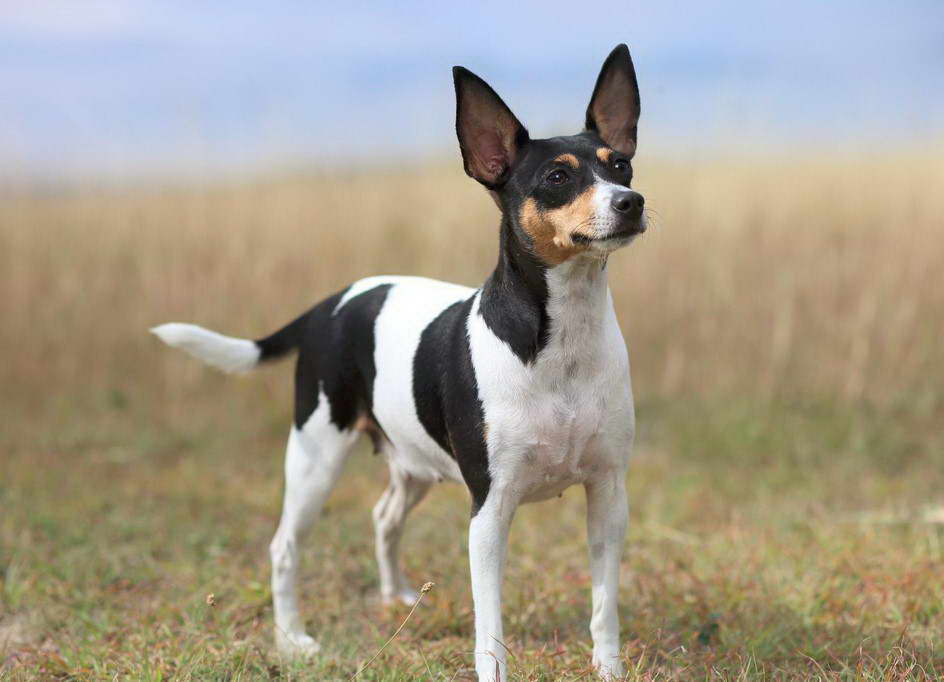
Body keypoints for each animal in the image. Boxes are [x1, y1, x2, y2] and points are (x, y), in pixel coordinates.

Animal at [153, 43, 640, 680]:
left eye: (621, 165)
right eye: (558, 177)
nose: (631, 202)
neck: (561, 345)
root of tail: (331, 303)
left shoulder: (608, 494)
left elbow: (604, 609)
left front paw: (608, 669)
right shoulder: (489, 510)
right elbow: (490, 628)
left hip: (411, 462)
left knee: (383, 517)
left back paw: (393, 597)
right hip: (315, 457)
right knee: (285, 547)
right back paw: (293, 639)